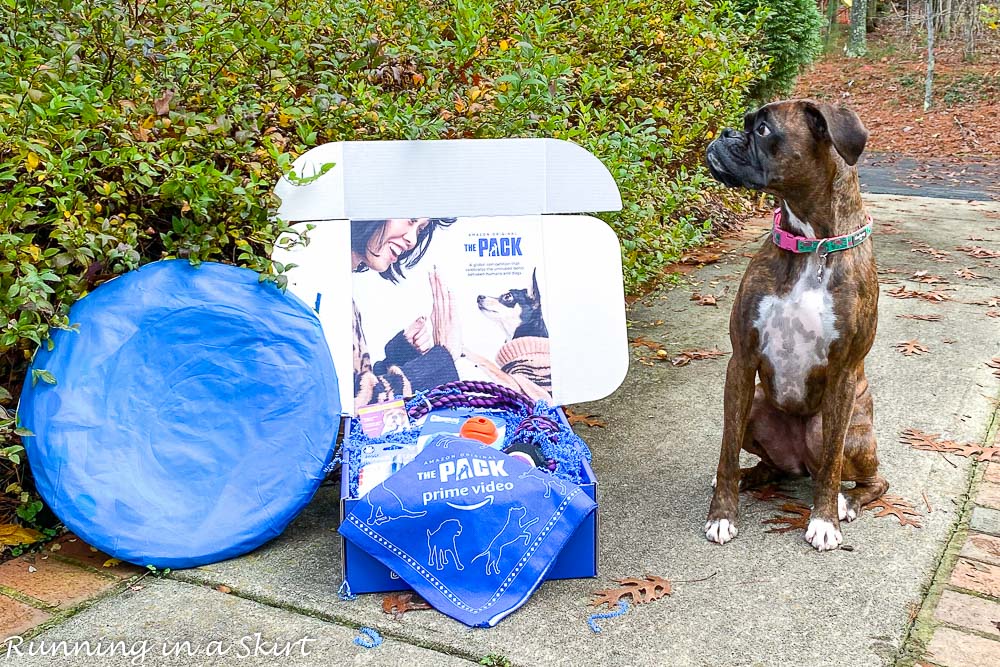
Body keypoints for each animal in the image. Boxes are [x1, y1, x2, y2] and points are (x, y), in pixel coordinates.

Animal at [704, 99, 892, 552]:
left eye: (763, 129)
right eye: (746, 124)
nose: (725, 133)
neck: (812, 245)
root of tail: (797, 463)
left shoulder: (843, 373)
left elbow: (832, 466)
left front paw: (824, 522)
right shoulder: (742, 361)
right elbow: (726, 451)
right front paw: (722, 515)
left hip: (836, 429)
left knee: (866, 478)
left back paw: (846, 502)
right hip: (757, 404)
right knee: (771, 466)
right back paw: (752, 476)